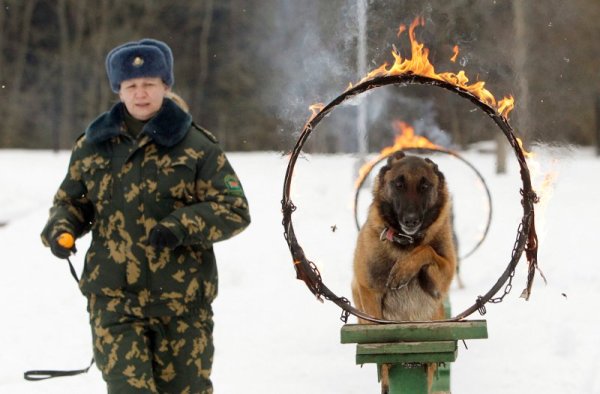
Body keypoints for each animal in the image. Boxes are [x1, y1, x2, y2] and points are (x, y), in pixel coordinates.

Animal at [352, 151, 454, 390]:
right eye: (398, 184)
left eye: (425, 186)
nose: (411, 220)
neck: (405, 243)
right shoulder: (368, 290)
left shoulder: (445, 273)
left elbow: (426, 249)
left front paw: (403, 270)